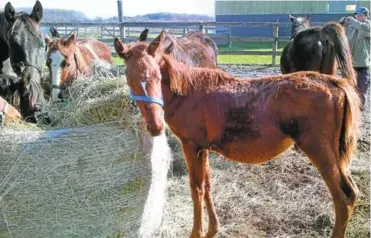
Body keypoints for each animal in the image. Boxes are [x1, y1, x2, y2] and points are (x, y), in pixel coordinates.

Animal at [117, 31, 364, 238]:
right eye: (128, 77)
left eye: (157, 76)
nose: (155, 126)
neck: (187, 91)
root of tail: (334, 83)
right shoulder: (204, 148)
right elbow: (207, 185)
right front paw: (212, 229)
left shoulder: (191, 145)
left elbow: (196, 188)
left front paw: (197, 232)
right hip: (336, 155)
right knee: (351, 193)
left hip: (319, 151)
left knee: (343, 197)